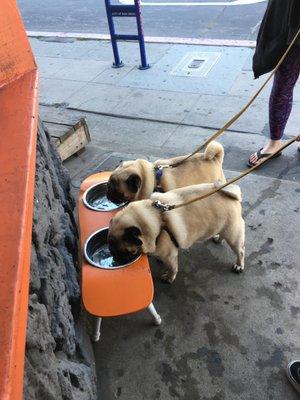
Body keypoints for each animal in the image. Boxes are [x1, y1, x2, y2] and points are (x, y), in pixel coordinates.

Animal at [109, 183, 245, 282]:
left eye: (127, 252)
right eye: (112, 251)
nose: (116, 259)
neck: (157, 219)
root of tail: (232, 195)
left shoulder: (170, 256)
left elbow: (172, 268)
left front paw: (169, 278)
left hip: (233, 234)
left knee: (240, 251)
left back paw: (239, 265)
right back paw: (218, 238)